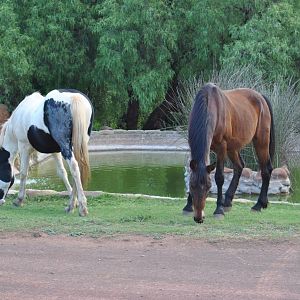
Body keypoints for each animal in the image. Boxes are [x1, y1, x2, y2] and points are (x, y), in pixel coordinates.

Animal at [186, 82, 276, 223]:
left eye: (208, 187)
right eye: (192, 185)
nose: (199, 218)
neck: (210, 105)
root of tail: (260, 97)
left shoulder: (221, 148)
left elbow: (219, 177)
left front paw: (218, 210)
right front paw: (188, 206)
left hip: (261, 141)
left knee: (266, 170)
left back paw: (258, 205)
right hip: (232, 147)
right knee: (239, 166)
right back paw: (228, 201)